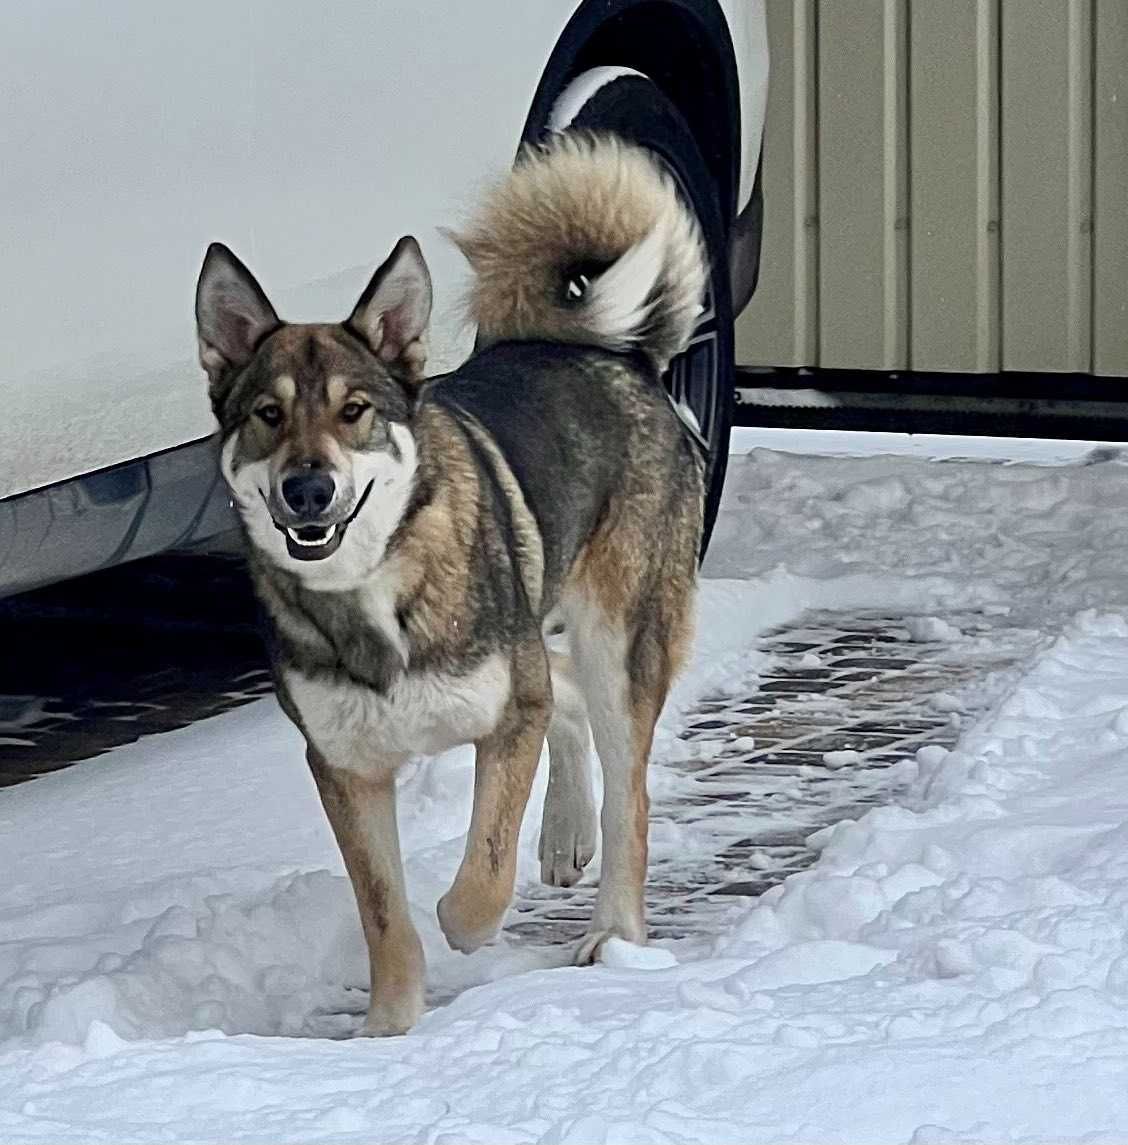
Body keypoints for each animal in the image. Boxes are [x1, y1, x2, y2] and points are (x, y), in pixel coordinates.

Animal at [193, 133, 705, 1039]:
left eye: (355, 409)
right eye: (266, 414)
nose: (307, 490)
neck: (373, 589)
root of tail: (618, 356)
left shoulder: (507, 716)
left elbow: (481, 876)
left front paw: (464, 927)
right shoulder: (345, 765)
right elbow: (384, 914)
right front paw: (389, 1030)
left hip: (621, 638)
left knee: (629, 798)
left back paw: (612, 932)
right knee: (568, 697)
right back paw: (565, 837)